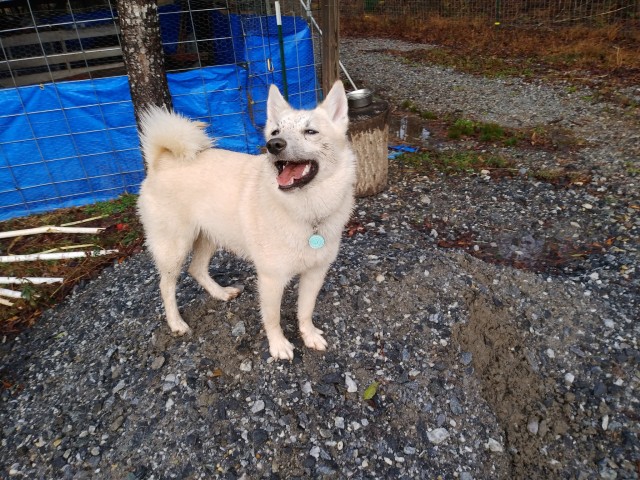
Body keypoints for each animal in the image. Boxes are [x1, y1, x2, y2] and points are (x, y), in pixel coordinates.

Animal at [138, 82, 356, 360]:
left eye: (310, 131)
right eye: (275, 131)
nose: (274, 144)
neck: (308, 211)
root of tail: (161, 162)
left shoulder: (315, 273)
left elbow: (305, 312)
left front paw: (309, 336)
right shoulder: (271, 279)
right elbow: (272, 318)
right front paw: (278, 346)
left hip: (209, 237)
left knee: (196, 269)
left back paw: (220, 293)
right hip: (175, 248)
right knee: (166, 286)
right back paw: (176, 323)